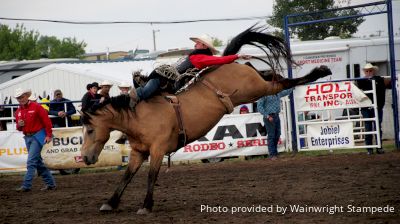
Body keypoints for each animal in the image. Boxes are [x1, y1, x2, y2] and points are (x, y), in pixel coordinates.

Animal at [78, 25, 332, 214]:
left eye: (89, 130)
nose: (86, 158)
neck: (139, 117)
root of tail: (229, 64)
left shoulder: (158, 149)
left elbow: (151, 176)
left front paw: (146, 206)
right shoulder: (138, 152)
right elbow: (127, 176)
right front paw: (110, 203)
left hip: (255, 89)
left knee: (281, 82)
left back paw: (320, 71)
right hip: (255, 85)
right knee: (267, 73)